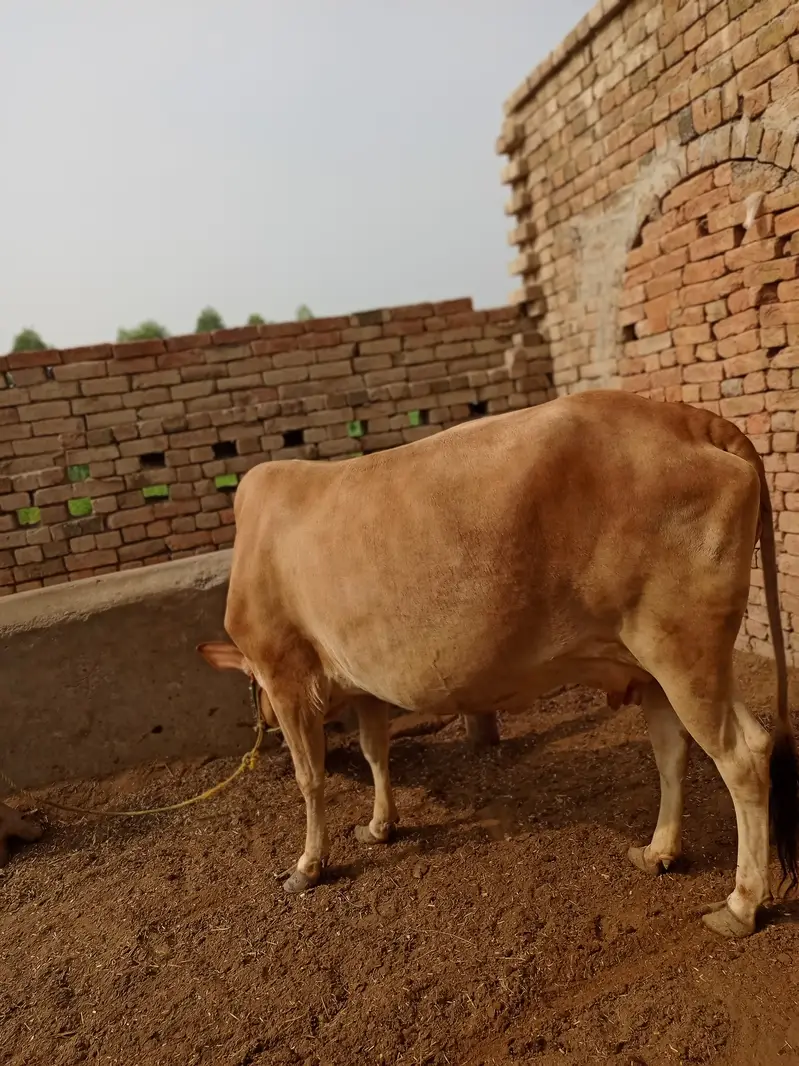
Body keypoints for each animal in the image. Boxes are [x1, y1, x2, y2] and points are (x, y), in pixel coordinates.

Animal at [198, 389, 798, 939]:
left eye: (253, 687)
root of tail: (688, 418)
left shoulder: (284, 670)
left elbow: (311, 776)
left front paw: (308, 865)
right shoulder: (366, 680)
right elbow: (375, 752)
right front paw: (379, 825)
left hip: (683, 652)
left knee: (744, 756)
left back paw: (742, 904)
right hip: (659, 663)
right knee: (676, 752)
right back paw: (658, 852)